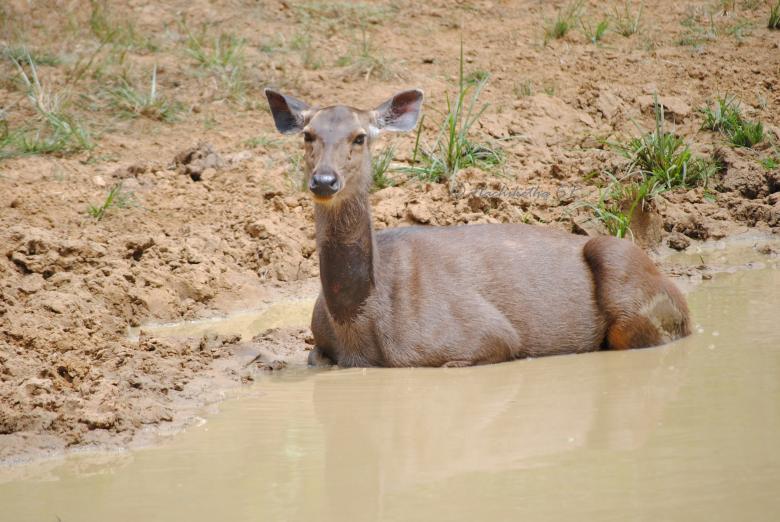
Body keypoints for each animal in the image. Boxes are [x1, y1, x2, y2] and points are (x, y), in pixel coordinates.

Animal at [264, 88, 691, 368]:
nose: (324, 180)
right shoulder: (319, 346)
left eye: (360, 137)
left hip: (629, 283)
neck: (358, 324)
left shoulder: (484, 337)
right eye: (308, 134)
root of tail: (685, 306)